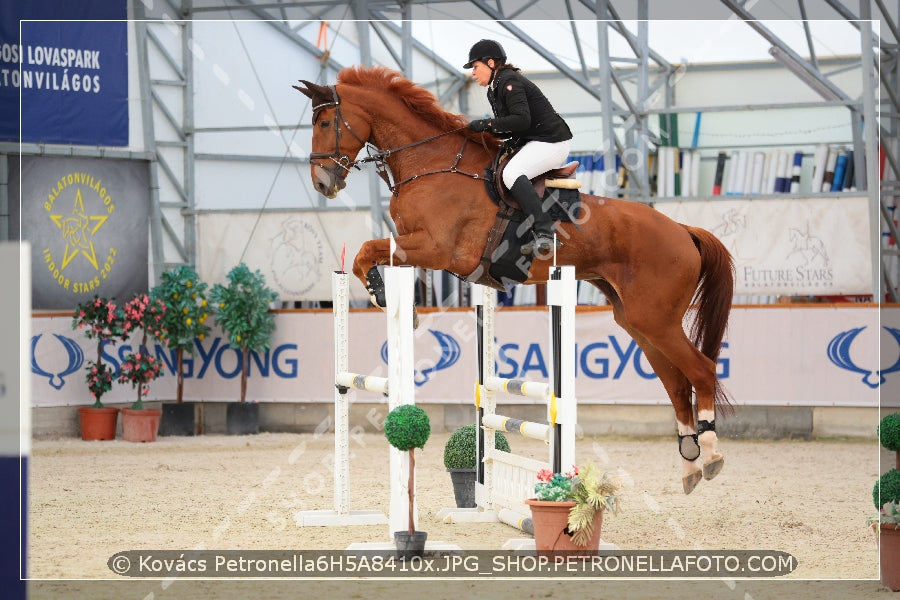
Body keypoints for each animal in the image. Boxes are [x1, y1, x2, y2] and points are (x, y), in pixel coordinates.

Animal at [294, 68, 732, 494]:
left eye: (326, 122)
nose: (321, 184)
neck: (431, 162)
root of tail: (683, 229)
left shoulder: (436, 247)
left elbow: (366, 251)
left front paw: (382, 294)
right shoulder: (417, 246)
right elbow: (368, 253)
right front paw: (392, 299)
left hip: (655, 319)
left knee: (701, 371)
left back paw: (711, 454)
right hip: (637, 321)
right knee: (677, 384)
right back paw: (689, 466)